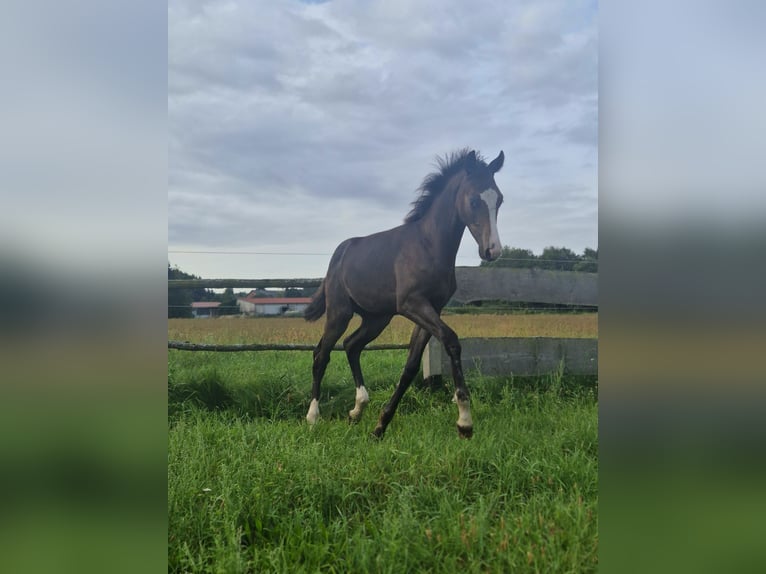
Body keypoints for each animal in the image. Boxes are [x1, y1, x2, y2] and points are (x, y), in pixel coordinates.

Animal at [304, 150, 508, 440]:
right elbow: (451, 340)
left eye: (499, 199)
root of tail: (340, 252)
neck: (429, 245)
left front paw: (380, 426)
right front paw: (464, 422)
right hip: (339, 312)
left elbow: (411, 365)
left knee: (352, 345)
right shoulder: (412, 304)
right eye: (473, 200)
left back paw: (357, 409)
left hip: (377, 318)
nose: (493, 250)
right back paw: (313, 416)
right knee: (322, 353)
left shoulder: (432, 308)